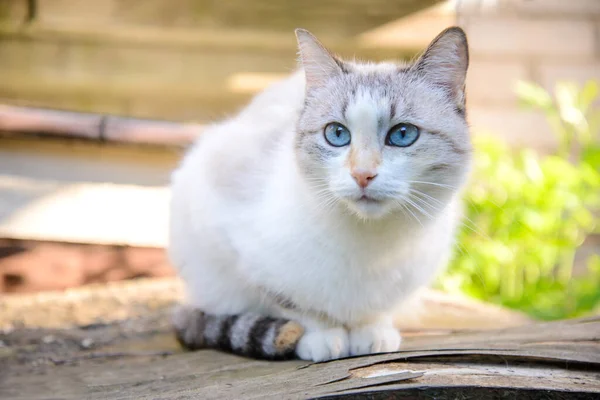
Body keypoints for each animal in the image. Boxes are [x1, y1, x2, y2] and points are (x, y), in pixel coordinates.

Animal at [169, 26, 474, 360]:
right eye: (337, 134)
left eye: (403, 134)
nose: (362, 175)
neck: (369, 244)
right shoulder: (238, 247)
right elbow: (298, 308)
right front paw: (324, 339)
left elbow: (376, 310)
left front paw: (371, 334)